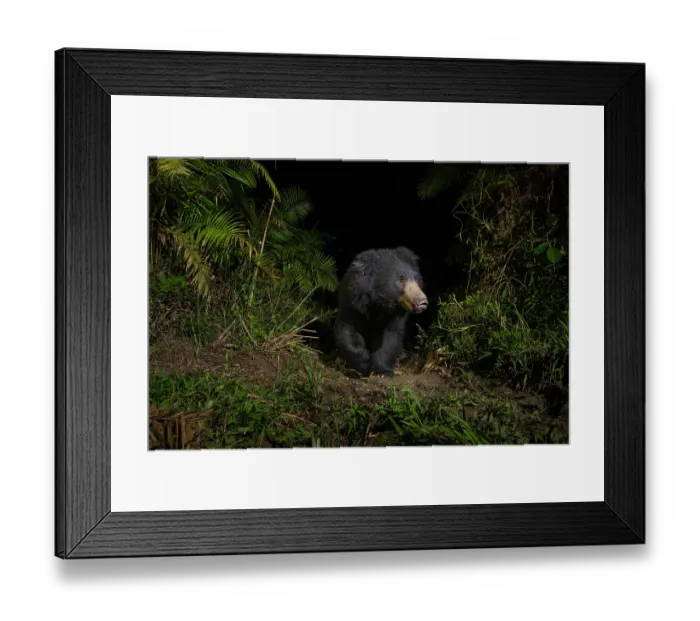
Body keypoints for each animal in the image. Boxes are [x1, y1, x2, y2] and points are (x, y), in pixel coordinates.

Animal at [333, 246, 428, 377]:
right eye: (400, 279)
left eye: (417, 279)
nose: (422, 302)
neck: (379, 304)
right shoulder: (353, 303)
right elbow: (348, 331)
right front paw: (364, 363)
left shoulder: (394, 316)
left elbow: (390, 338)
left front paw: (382, 370)